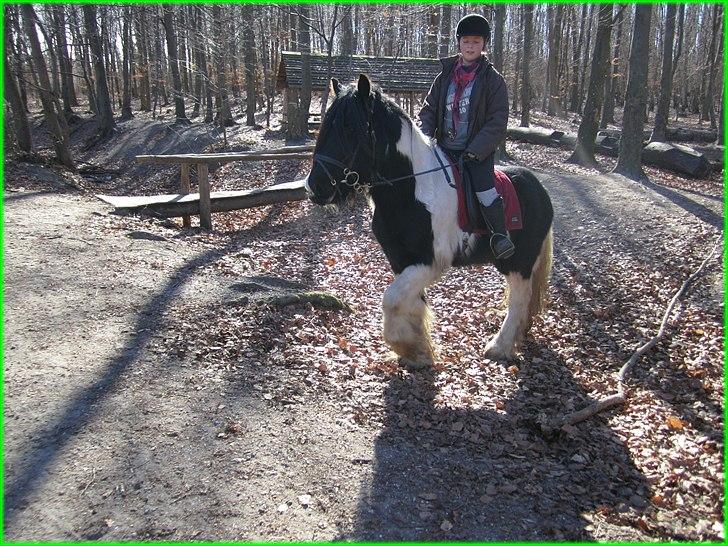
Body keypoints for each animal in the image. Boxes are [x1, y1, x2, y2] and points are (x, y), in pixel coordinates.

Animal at [302, 74, 552, 368]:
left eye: (351, 128)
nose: (315, 187)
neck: (410, 189)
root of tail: (540, 190)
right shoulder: (401, 260)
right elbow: (411, 302)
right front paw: (418, 350)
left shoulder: (430, 262)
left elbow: (391, 299)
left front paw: (408, 347)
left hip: (518, 262)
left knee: (519, 299)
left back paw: (499, 347)